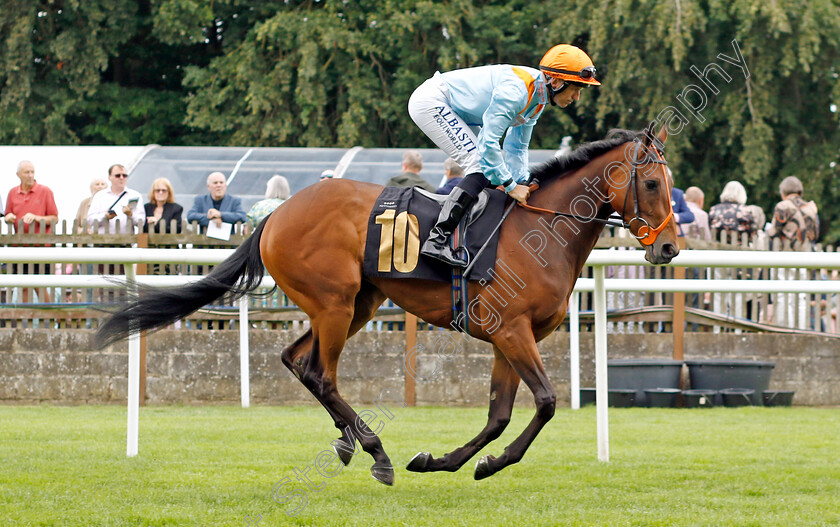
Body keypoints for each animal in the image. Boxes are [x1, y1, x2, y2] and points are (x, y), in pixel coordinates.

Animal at [97, 125, 676, 486]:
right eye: (651, 183)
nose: (669, 248)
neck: (542, 229)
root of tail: (276, 213)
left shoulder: (508, 338)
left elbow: (499, 415)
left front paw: (453, 462)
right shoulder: (511, 332)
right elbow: (548, 402)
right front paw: (484, 463)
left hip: (359, 304)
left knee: (297, 361)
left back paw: (348, 440)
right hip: (334, 304)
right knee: (321, 373)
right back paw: (376, 452)